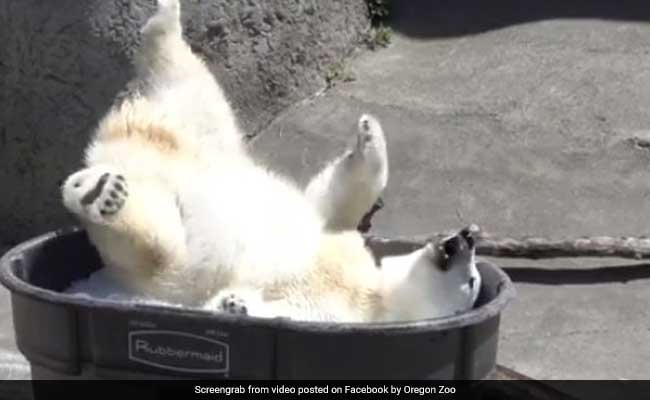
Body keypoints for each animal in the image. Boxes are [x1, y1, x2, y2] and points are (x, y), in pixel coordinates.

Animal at [58, 0, 478, 322]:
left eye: (473, 281)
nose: (467, 236)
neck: (376, 293)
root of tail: (113, 145)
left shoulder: (334, 312)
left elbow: (275, 306)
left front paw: (235, 304)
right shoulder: (344, 244)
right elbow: (330, 206)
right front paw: (369, 134)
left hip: (170, 262)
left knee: (161, 249)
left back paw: (97, 193)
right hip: (207, 144)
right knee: (193, 87)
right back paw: (167, 17)